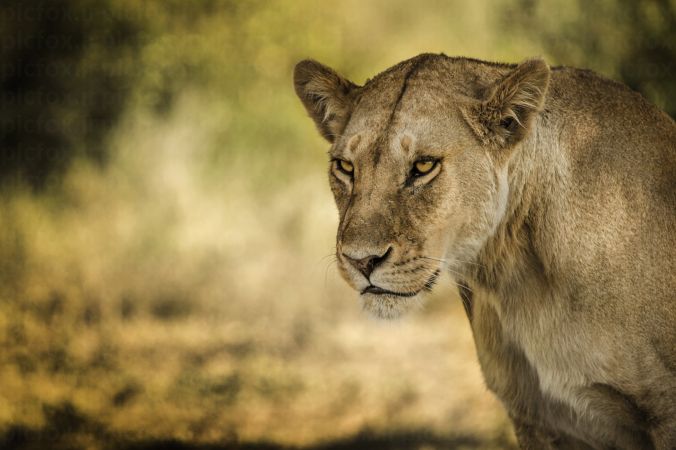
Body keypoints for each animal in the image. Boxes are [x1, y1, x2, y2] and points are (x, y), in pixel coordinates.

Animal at [293, 54, 675, 449]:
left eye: (424, 166)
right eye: (345, 167)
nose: (361, 260)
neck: (514, 274)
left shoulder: (665, 412)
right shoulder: (536, 417)